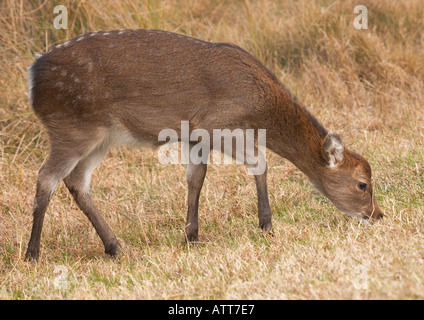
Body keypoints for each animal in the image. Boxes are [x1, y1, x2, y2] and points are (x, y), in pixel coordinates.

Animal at [24, 29, 382, 260]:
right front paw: (266, 225)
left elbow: (196, 177)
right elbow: (259, 161)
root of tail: (32, 76)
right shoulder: (217, 123)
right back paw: (33, 252)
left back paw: (114, 247)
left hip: (101, 135)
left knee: (76, 180)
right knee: (46, 177)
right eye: (362, 184)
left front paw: (191, 235)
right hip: (72, 125)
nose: (376, 214)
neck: (260, 106)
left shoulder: (195, 134)